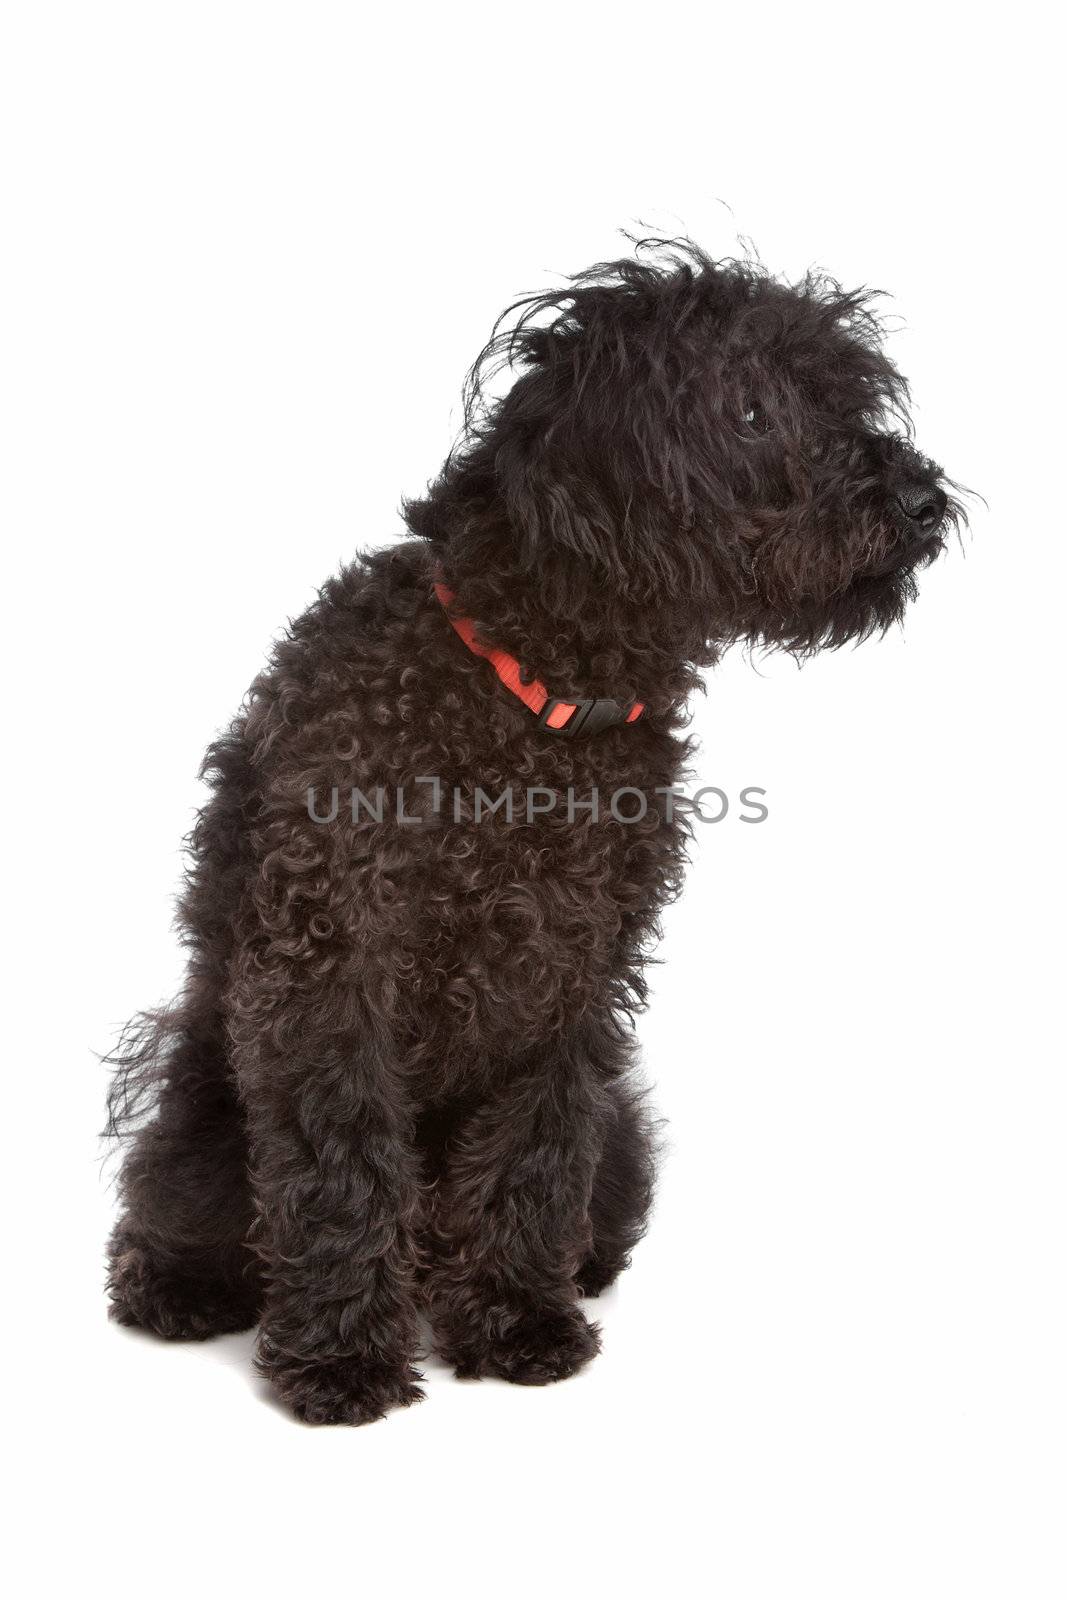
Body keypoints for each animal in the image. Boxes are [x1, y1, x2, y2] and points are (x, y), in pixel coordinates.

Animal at [106, 236, 959, 1427]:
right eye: (750, 409)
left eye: (850, 397)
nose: (924, 499)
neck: (535, 699)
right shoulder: (331, 965)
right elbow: (339, 1165)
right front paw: (340, 1356)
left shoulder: (571, 977)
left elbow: (533, 1156)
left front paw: (516, 1321)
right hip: (201, 1102)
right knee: (182, 1199)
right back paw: (181, 1284)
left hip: (623, 1136)